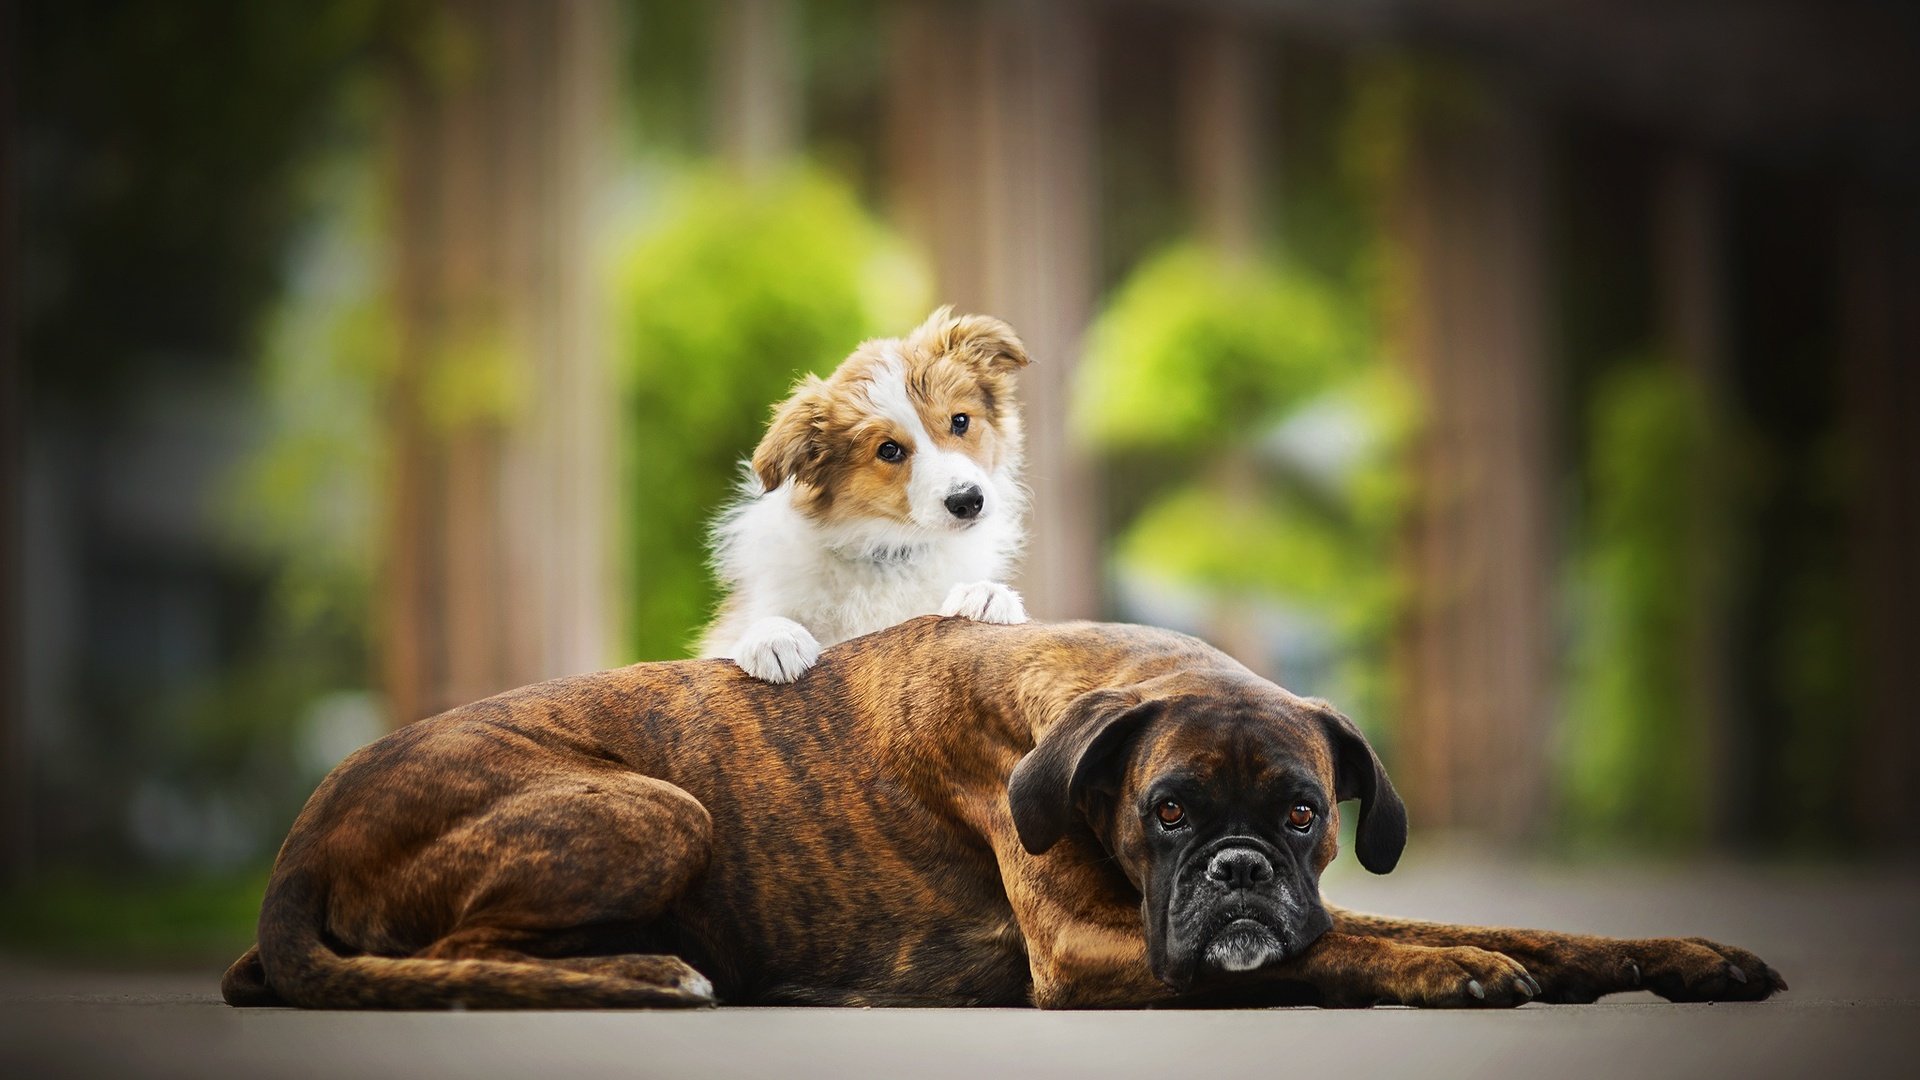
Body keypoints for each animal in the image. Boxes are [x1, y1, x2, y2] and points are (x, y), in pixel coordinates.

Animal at [220, 614, 1781, 1006]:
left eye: (1299, 818)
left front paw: (1679, 957)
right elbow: (1340, 955)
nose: (1233, 874)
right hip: (655, 808)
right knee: (451, 964)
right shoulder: (1093, 956)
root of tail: (301, 832)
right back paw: (649, 972)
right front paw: (1449, 966)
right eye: (1168, 814)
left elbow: (1522, 925)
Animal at [706, 307, 1036, 676]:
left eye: (960, 421)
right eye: (888, 450)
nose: (968, 501)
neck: (891, 551)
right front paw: (773, 636)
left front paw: (984, 595)